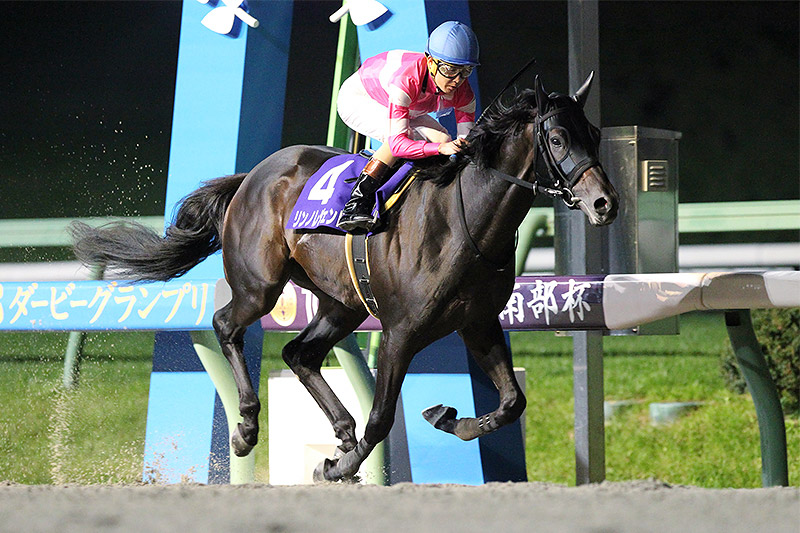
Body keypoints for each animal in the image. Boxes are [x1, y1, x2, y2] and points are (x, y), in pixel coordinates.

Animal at [71, 74, 618, 482]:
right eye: (557, 138)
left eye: (593, 135)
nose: (604, 204)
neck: (464, 222)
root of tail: (252, 175)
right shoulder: (401, 332)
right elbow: (382, 418)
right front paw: (337, 466)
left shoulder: (478, 323)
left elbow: (511, 402)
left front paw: (449, 419)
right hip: (260, 285)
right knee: (227, 325)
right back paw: (247, 427)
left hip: (343, 303)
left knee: (300, 353)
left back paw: (339, 427)